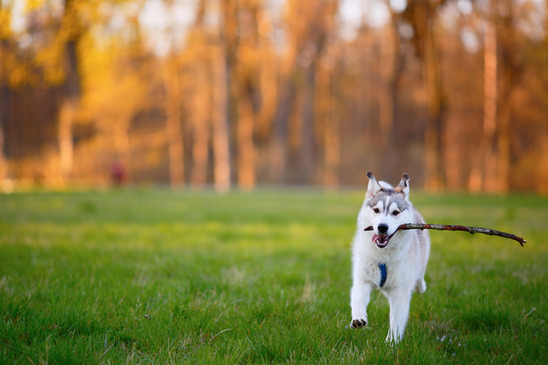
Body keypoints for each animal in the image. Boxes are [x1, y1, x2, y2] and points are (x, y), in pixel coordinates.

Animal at [348, 171, 430, 342]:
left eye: (395, 212)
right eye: (376, 210)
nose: (382, 227)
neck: (383, 257)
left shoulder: (400, 292)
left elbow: (396, 322)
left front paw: (391, 343)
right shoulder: (362, 281)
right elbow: (358, 300)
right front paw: (358, 319)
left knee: (419, 278)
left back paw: (420, 286)